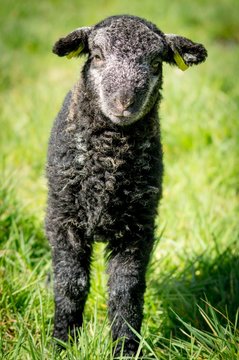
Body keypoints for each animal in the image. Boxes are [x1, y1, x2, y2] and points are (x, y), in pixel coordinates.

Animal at [45, 15, 207, 356]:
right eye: (97, 55)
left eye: (156, 62)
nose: (124, 103)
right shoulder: (64, 220)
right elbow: (70, 284)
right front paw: (62, 344)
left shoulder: (137, 225)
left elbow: (126, 291)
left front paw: (125, 349)